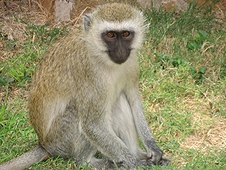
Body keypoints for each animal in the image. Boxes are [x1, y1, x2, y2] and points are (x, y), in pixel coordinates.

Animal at [0, 2, 170, 170]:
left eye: (126, 34)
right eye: (110, 35)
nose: (120, 51)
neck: (101, 57)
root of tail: (44, 144)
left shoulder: (132, 65)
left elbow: (134, 103)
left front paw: (152, 149)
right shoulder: (89, 73)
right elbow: (92, 125)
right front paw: (135, 163)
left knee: (119, 100)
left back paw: (136, 153)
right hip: (61, 140)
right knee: (79, 113)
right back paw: (89, 161)